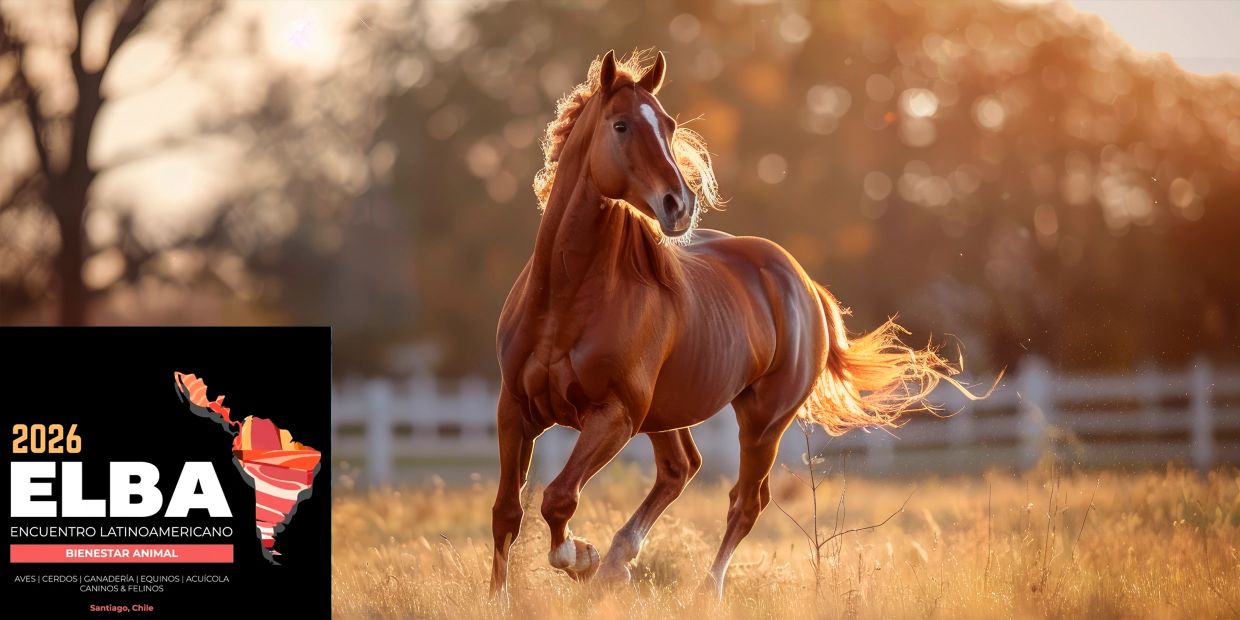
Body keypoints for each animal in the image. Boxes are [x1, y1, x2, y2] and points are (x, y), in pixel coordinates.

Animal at [490, 50, 982, 599]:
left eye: (668, 125)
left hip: (761, 420)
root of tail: (802, 282)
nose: (679, 205)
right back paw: (619, 563)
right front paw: (502, 597)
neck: (566, 300)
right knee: (680, 470)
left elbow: (558, 498)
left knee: (744, 502)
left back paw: (701, 591)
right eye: (621, 125)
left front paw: (580, 558)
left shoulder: (614, 415)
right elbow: (508, 512)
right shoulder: (515, 408)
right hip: (667, 413)